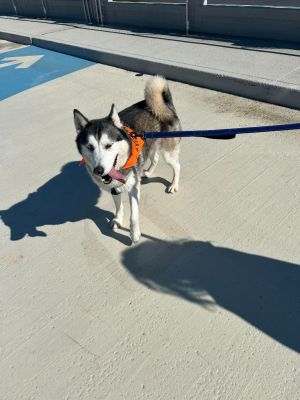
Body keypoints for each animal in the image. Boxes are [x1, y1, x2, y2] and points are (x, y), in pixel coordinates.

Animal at [74, 75, 180, 244]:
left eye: (108, 145)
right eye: (90, 147)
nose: (99, 170)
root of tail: (165, 104)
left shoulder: (134, 189)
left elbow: (134, 214)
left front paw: (134, 233)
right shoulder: (114, 188)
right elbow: (118, 206)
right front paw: (118, 219)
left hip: (168, 152)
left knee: (177, 166)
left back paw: (174, 184)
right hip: (150, 146)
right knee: (155, 158)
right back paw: (148, 172)